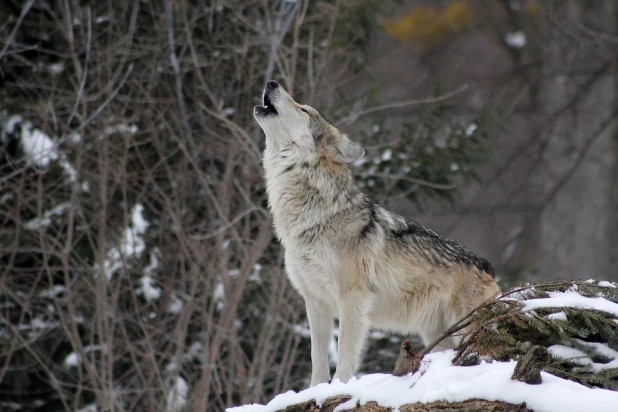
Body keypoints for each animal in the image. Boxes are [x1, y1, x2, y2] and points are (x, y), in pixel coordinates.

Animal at [253, 79, 498, 386]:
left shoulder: (352, 298)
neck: (313, 218)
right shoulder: (315, 302)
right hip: (438, 337)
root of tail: (487, 266)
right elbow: (317, 359)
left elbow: (345, 354)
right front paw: (316, 390)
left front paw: (339, 387)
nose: (271, 82)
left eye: (304, 109)